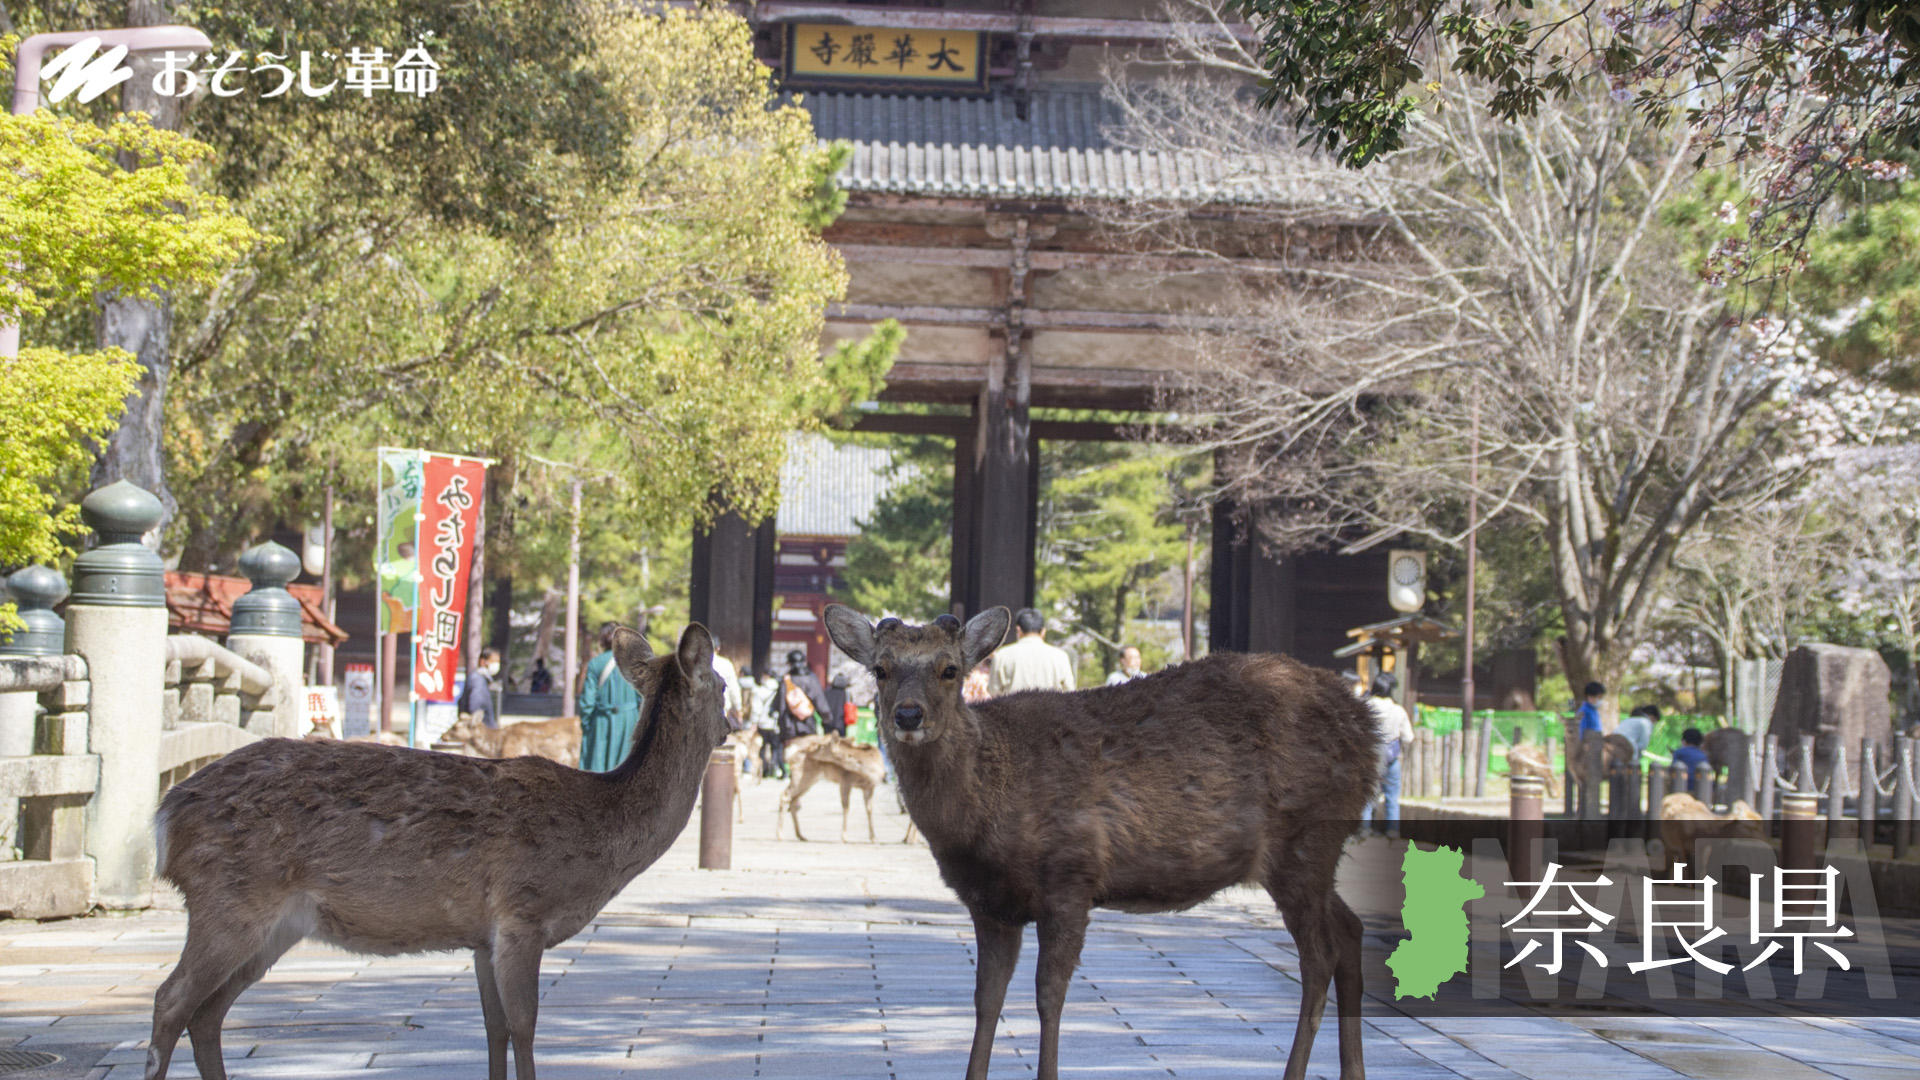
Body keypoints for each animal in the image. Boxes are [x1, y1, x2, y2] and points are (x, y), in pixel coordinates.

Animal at [144, 622, 725, 1076]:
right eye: (721, 684)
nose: (730, 727)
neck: (600, 833)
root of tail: (165, 818)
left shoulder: (484, 938)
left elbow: (494, 1031)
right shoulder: (523, 913)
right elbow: (525, 1027)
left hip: (274, 926)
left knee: (207, 1014)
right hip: (230, 901)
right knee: (170, 1002)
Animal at [825, 599, 1382, 1076]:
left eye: (949, 670)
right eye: (881, 669)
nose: (908, 715)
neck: (982, 819)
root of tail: (1370, 728)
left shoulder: (1071, 877)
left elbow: (1048, 996)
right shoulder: (989, 903)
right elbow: (986, 999)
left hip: (1305, 839)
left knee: (1320, 957)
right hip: (1314, 857)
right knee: (1351, 929)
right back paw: (1353, 1071)